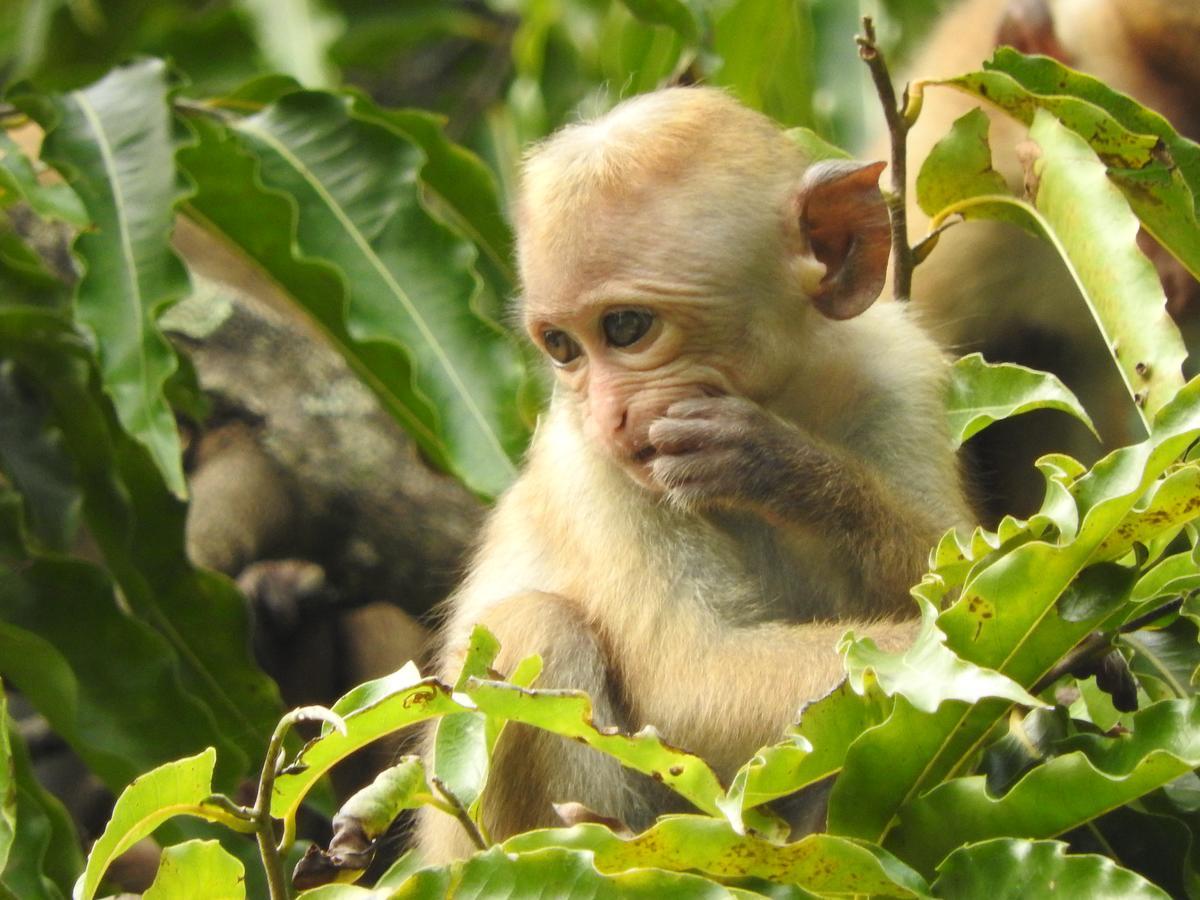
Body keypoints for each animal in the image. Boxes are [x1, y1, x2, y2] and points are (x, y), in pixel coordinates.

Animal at [417, 88, 969, 864]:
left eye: (625, 327)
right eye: (561, 346)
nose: (610, 415)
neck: (785, 390)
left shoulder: (899, 372)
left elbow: (956, 554)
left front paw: (782, 467)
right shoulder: (591, 467)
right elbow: (690, 681)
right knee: (533, 626)